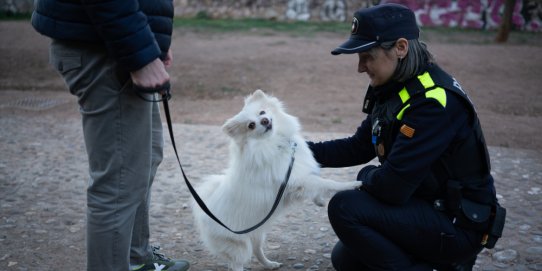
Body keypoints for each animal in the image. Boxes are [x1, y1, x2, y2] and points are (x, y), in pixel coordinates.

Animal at [192, 90, 362, 270]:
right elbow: (326, 183)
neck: (275, 142)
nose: (265, 121)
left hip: (257, 233)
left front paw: (319, 201)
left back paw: (270, 264)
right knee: (237, 262)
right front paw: (352, 184)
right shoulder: (296, 179)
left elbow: (317, 184)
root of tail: (205, 209)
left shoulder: (299, 178)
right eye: (251, 125)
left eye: (262, 112)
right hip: (237, 244)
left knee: (257, 250)